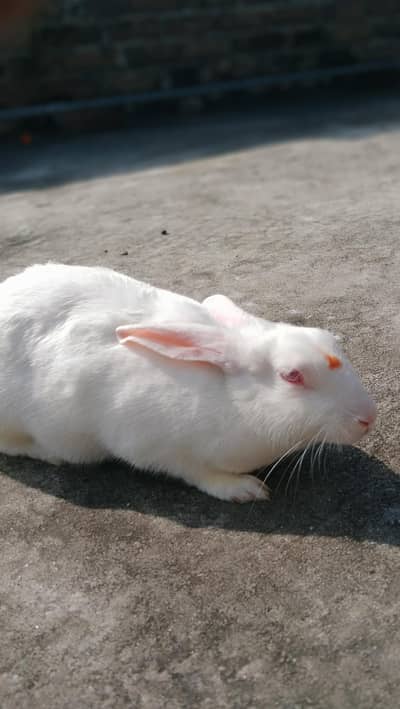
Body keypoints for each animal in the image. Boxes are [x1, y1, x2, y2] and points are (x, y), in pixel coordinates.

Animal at [0, 263, 376, 502]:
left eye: (330, 340)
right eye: (292, 375)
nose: (368, 417)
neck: (233, 402)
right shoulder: (155, 446)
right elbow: (196, 473)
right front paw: (244, 490)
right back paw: (49, 455)